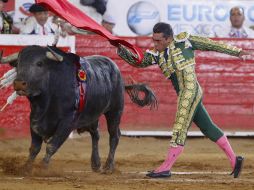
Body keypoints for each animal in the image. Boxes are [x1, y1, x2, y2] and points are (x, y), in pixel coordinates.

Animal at [0, 46, 157, 174]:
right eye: (18, 64)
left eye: (39, 63)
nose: (19, 83)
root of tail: (117, 71)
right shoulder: (35, 120)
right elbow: (34, 148)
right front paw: (26, 168)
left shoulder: (67, 123)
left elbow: (51, 146)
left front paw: (42, 168)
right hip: (92, 116)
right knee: (96, 135)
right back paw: (96, 164)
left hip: (114, 111)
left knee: (114, 135)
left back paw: (108, 166)